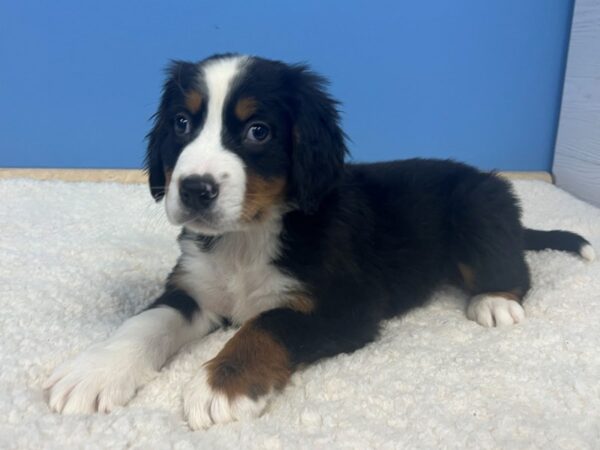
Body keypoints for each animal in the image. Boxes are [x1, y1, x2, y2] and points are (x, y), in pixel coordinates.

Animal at [44, 53, 592, 428]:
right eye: (182, 122)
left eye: (258, 131)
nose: (195, 189)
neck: (248, 237)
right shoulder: (194, 289)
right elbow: (145, 324)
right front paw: (92, 372)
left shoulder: (346, 306)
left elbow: (268, 324)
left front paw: (220, 383)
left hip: (478, 206)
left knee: (516, 267)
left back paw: (494, 301)